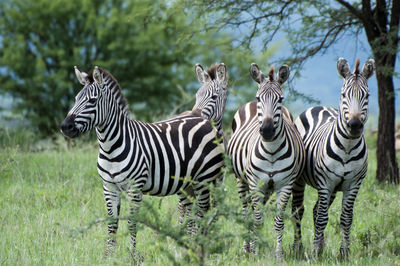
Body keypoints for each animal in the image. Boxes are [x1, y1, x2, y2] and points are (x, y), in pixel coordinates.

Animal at [227, 62, 304, 260]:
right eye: (259, 98)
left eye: (281, 99)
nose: (267, 131)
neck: (271, 151)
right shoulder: (255, 183)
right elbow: (257, 220)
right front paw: (255, 252)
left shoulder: (285, 185)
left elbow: (278, 221)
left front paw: (278, 255)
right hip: (241, 181)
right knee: (247, 213)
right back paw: (246, 248)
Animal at [290, 57, 376, 258]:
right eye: (344, 95)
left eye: (367, 96)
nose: (354, 125)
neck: (348, 148)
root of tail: (319, 106)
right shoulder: (325, 183)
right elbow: (322, 218)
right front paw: (314, 253)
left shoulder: (353, 184)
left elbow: (346, 218)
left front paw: (344, 253)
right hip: (300, 180)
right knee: (299, 211)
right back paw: (298, 248)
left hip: (334, 189)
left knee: (315, 210)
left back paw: (320, 247)